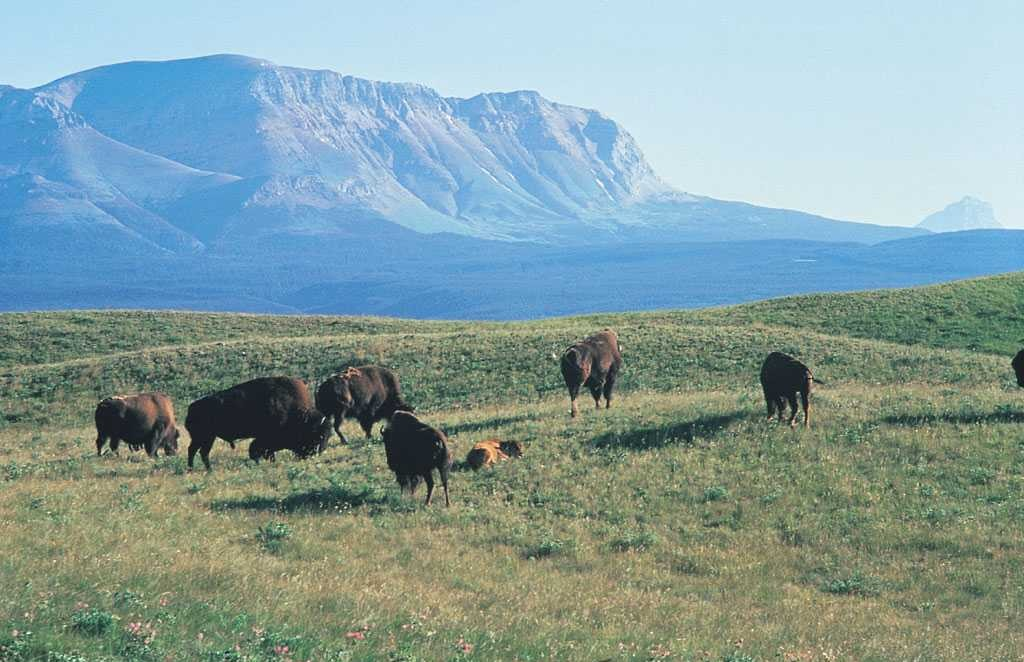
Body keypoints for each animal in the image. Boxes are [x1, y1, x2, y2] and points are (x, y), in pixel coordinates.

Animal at [182, 379, 329, 471]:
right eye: (318, 435)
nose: (318, 452)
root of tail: (191, 407)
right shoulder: (265, 438)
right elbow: (258, 451)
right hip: (203, 437)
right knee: (195, 451)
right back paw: (197, 470)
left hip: (207, 438)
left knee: (200, 452)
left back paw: (205, 470)